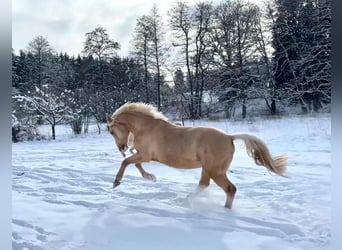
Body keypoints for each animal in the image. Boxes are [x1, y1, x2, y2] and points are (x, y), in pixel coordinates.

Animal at [107, 102, 288, 209]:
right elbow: (135, 164)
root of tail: (229, 137)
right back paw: (190, 199)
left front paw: (116, 182)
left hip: (215, 171)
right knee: (207, 184)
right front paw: (150, 177)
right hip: (209, 169)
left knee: (228, 188)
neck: (146, 127)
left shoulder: (145, 155)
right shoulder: (143, 155)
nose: (122, 147)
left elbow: (126, 162)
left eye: (111, 131)